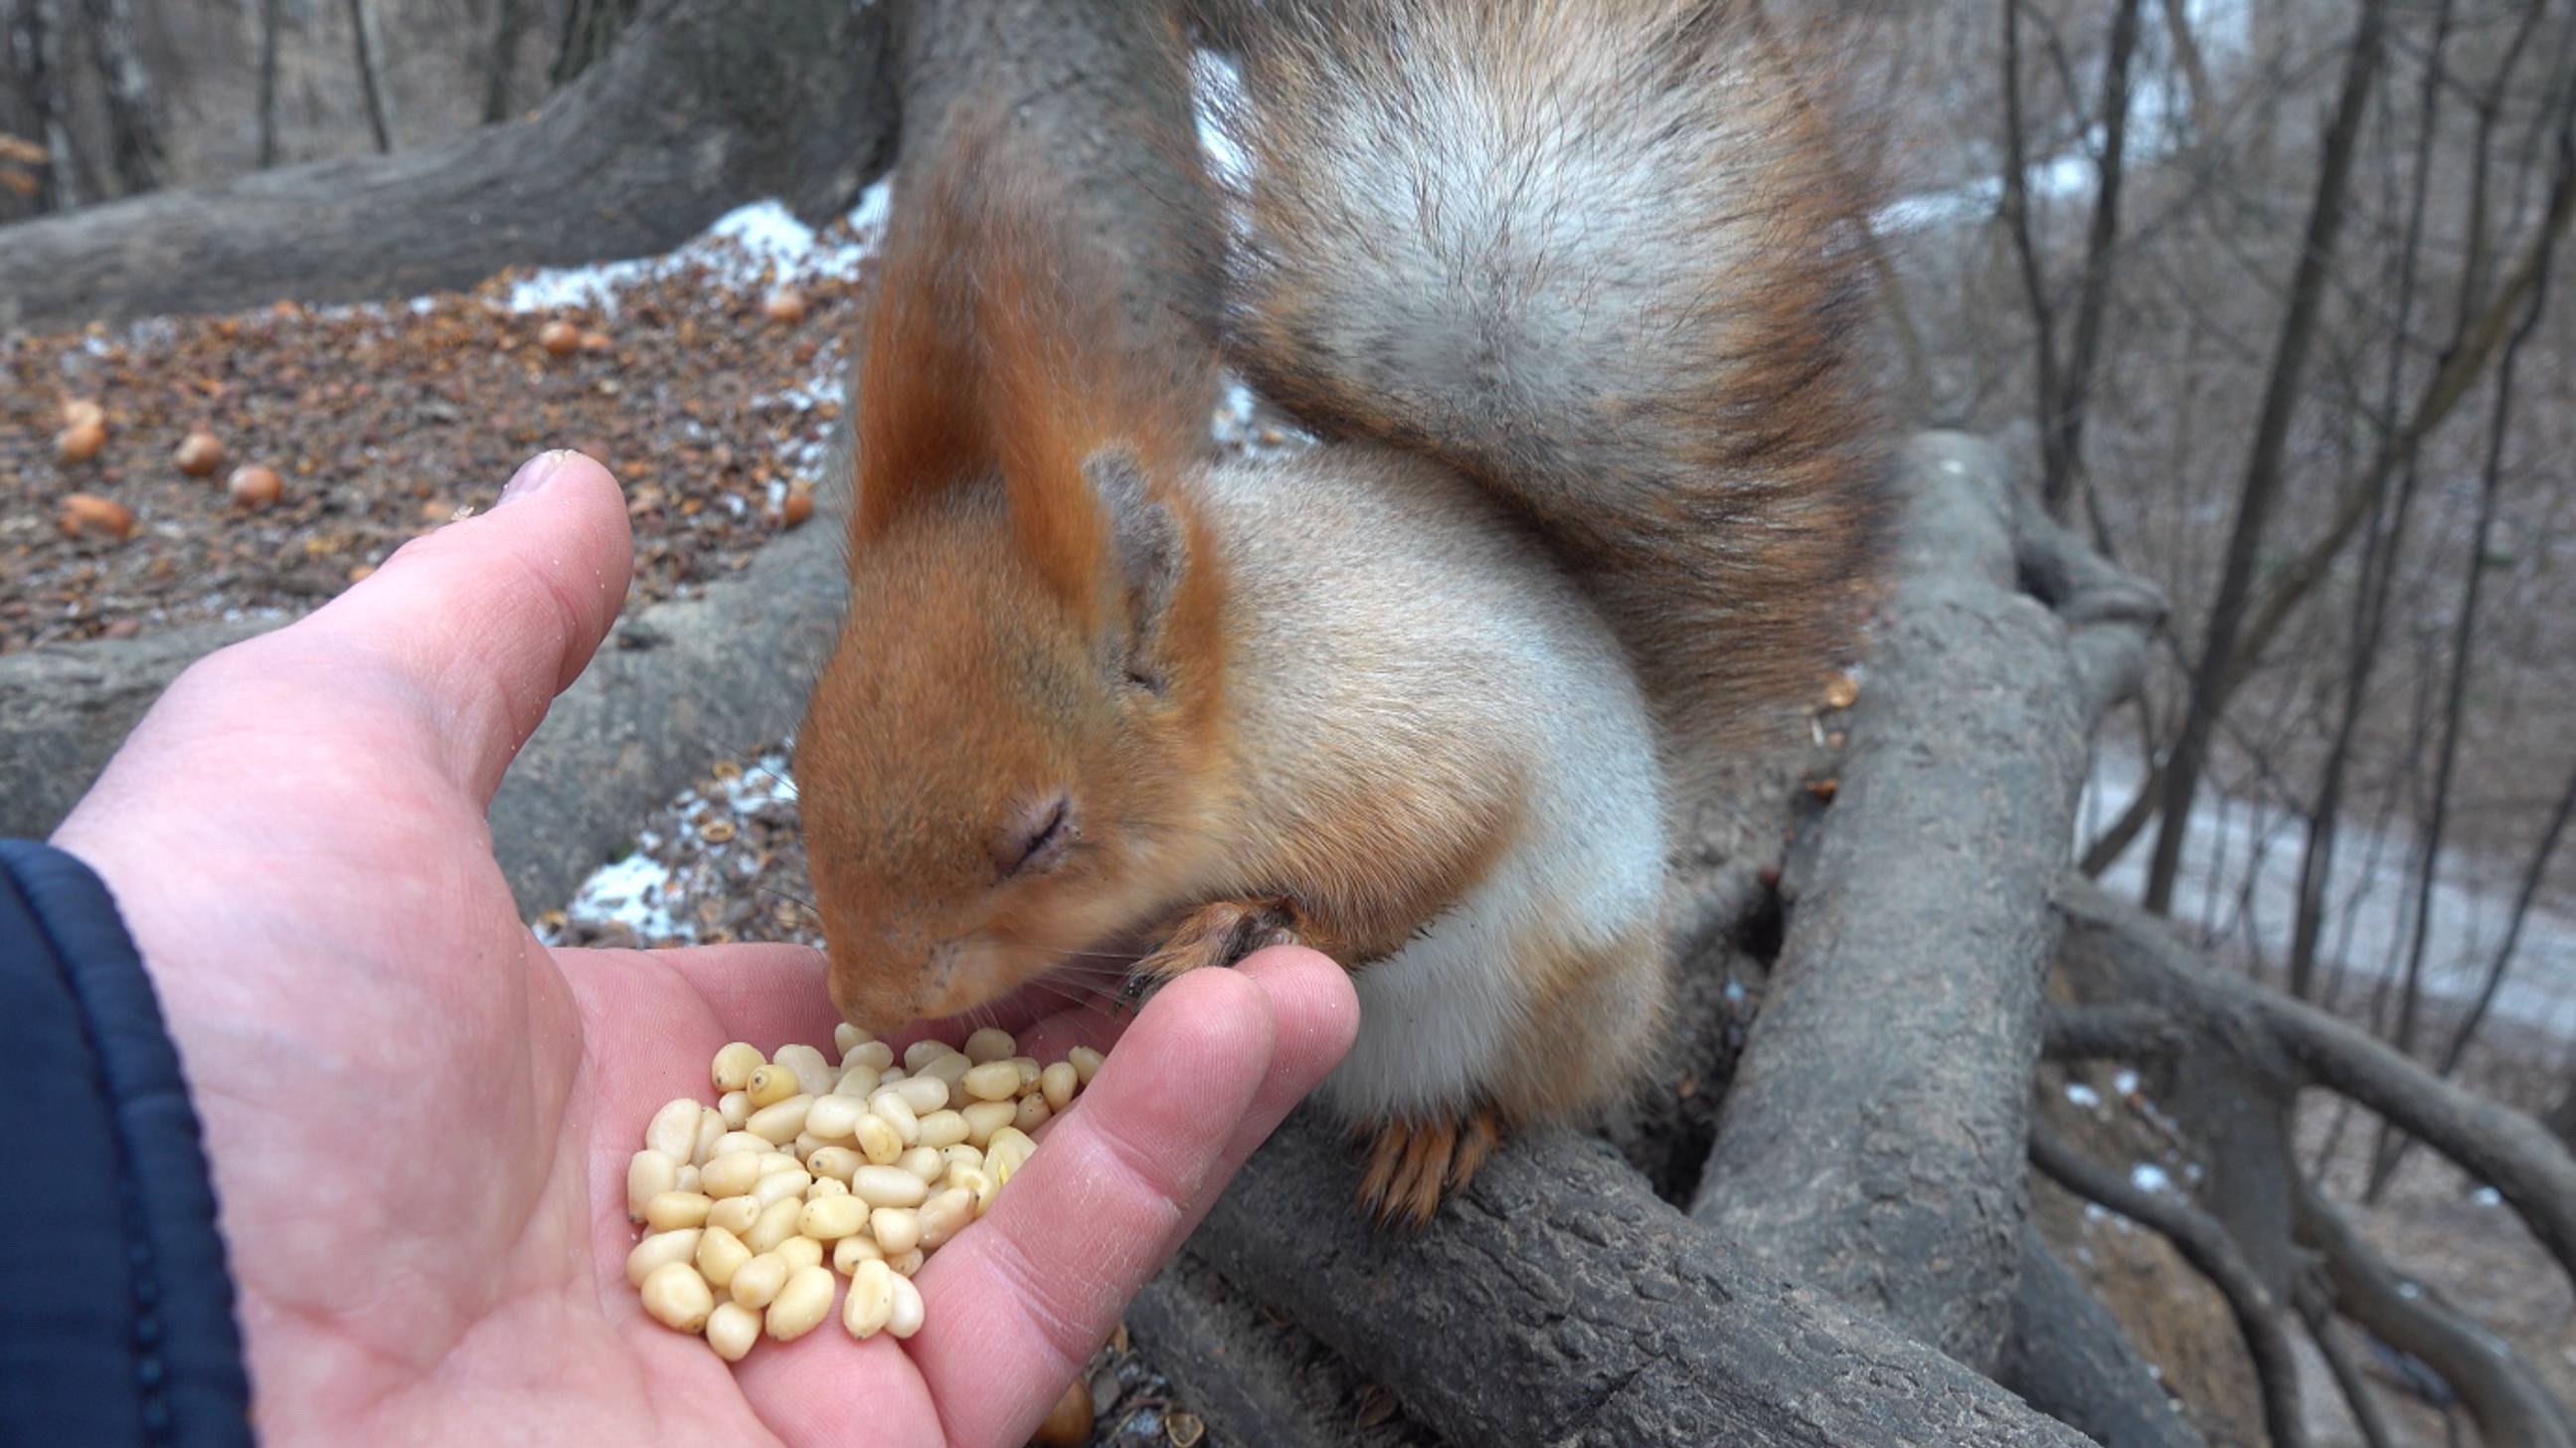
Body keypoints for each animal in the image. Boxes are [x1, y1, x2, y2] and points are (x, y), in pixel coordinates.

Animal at [793, 0, 1885, 1221]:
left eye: (1042, 833)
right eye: (800, 763)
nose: (869, 999)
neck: (1252, 679)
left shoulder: (1411, 733)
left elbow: (1427, 859)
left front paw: (1250, 924)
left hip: (1573, 1002)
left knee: (1529, 1088)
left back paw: (1445, 1124)